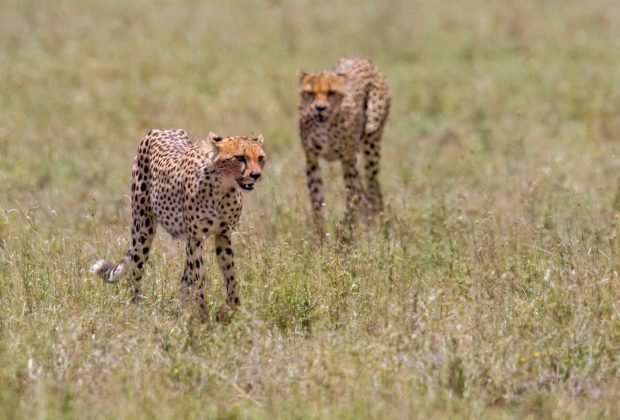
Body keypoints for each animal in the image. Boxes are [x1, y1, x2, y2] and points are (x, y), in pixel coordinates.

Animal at [91, 130, 266, 320]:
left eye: (260, 158)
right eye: (240, 157)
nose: (256, 175)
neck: (223, 186)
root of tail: (159, 130)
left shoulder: (223, 235)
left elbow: (230, 275)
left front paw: (233, 312)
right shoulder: (195, 238)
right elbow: (199, 279)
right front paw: (203, 317)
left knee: (183, 278)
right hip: (143, 228)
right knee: (135, 272)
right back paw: (135, 309)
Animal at [298, 57, 390, 238]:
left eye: (331, 93)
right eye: (310, 93)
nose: (319, 108)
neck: (325, 124)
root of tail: (363, 59)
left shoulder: (347, 160)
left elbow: (352, 200)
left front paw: (344, 235)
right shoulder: (312, 160)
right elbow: (317, 203)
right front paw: (321, 239)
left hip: (371, 146)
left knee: (372, 189)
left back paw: (379, 226)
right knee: (365, 195)